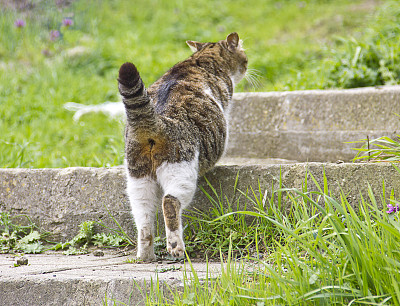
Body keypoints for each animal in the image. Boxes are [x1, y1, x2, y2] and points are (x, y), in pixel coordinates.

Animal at [117, 31, 247, 260]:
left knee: (143, 219)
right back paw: (176, 246)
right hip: (181, 171)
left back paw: (145, 254)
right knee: (169, 202)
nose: (248, 65)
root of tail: (155, 122)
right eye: (245, 59)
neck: (200, 60)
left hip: (138, 179)